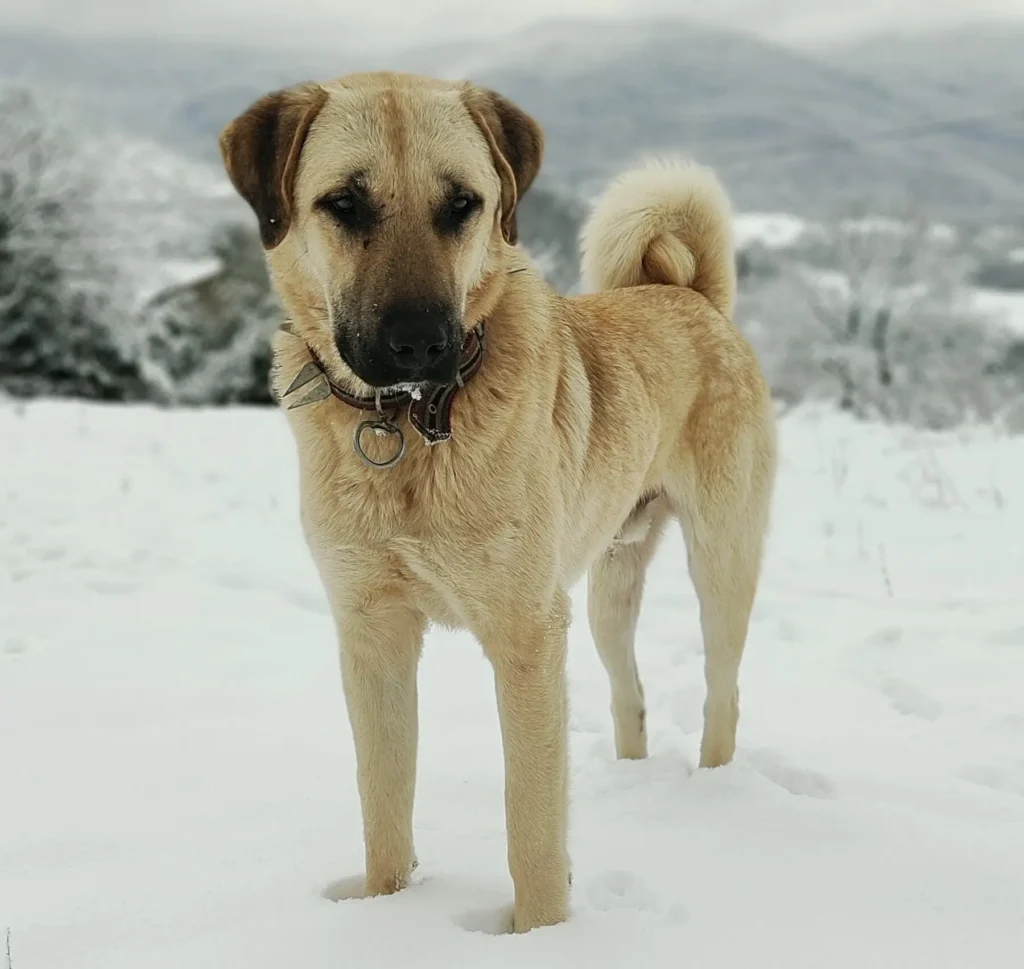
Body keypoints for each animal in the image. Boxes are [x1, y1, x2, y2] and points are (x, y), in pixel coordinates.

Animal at [220, 71, 770, 934]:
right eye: (344, 203)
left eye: (462, 204)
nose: (419, 342)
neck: (408, 425)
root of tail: (693, 297)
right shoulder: (372, 632)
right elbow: (383, 800)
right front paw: (384, 911)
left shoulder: (526, 633)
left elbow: (532, 819)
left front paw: (540, 934)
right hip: (606, 590)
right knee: (630, 695)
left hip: (720, 563)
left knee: (724, 691)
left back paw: (710, 796)